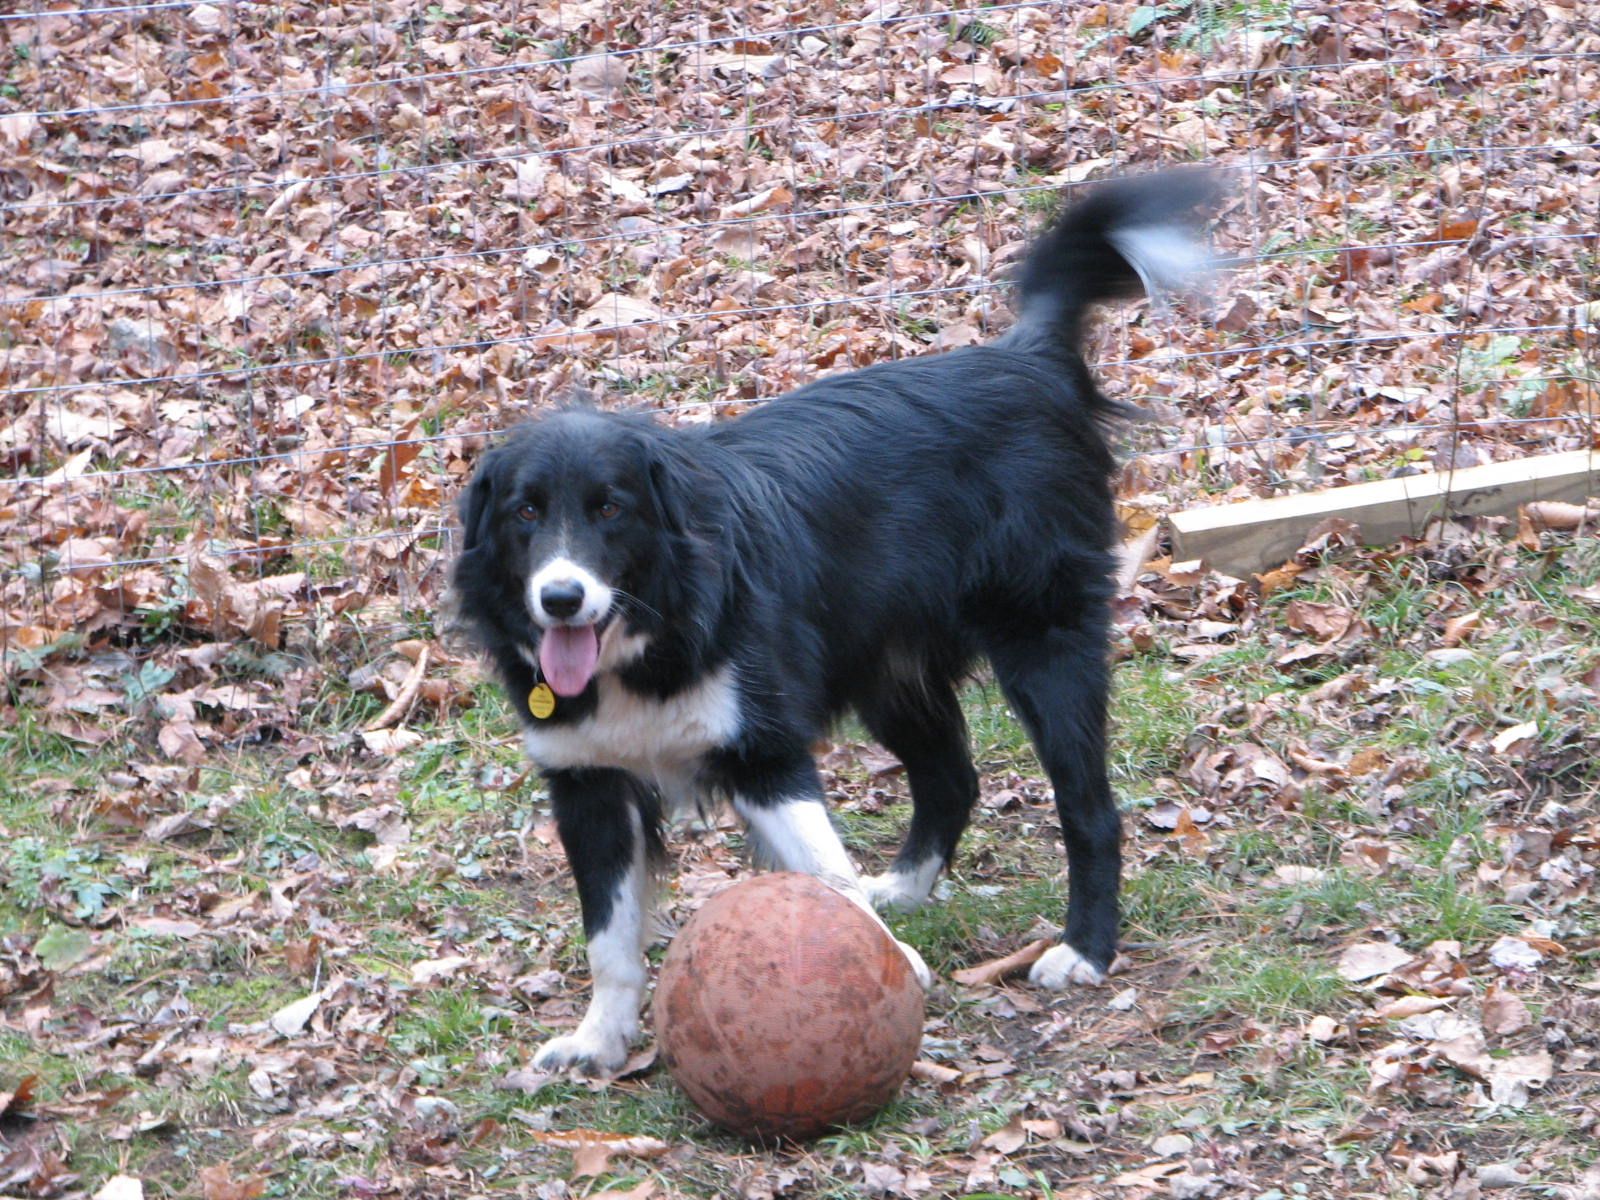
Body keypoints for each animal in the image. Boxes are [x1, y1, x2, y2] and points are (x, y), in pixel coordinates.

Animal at [451, 173, 1209, 1075]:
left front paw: (884, 962)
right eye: (526, 513)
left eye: (610, 509)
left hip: (1043, 641)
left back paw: (1086, 950)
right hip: (889, 669)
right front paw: (599, 1041)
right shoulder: (588, 784)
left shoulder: (766, 751)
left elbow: (825, 869)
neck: (649, 630)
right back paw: (909, 886)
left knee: (1088, 806)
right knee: (951, 777)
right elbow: (609, 936)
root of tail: (1026, 357)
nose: (561, 599)